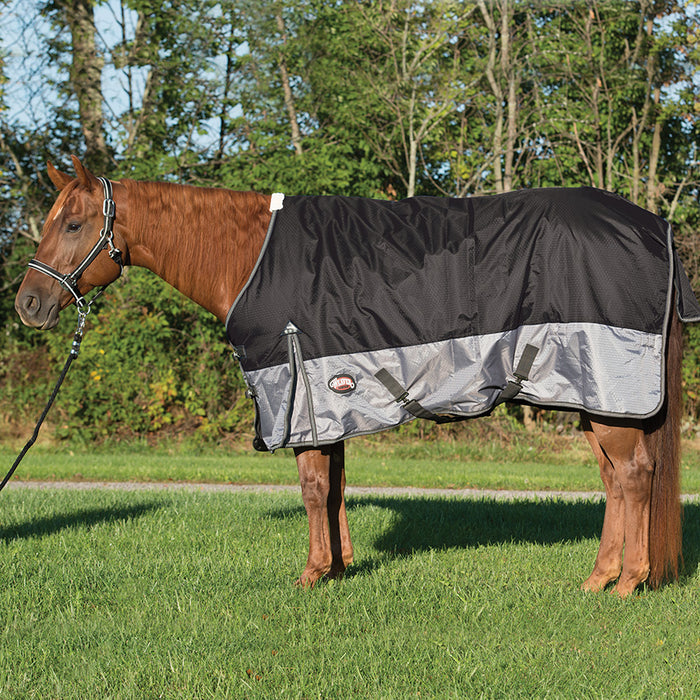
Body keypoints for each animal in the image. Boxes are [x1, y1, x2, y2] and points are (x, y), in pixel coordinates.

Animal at [15, 156, 687, 598]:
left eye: (72, 224)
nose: (28, 304)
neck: (250, 260)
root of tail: (656, 227)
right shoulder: (330, 397)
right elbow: (333, 487)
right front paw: (338, 568)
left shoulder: (300, 394)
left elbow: (314, 488)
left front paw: (311, 576)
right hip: (595, 397)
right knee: (615, 479)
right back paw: (599, 578)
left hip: (610, 393)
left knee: (634, 476)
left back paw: (628, 583)